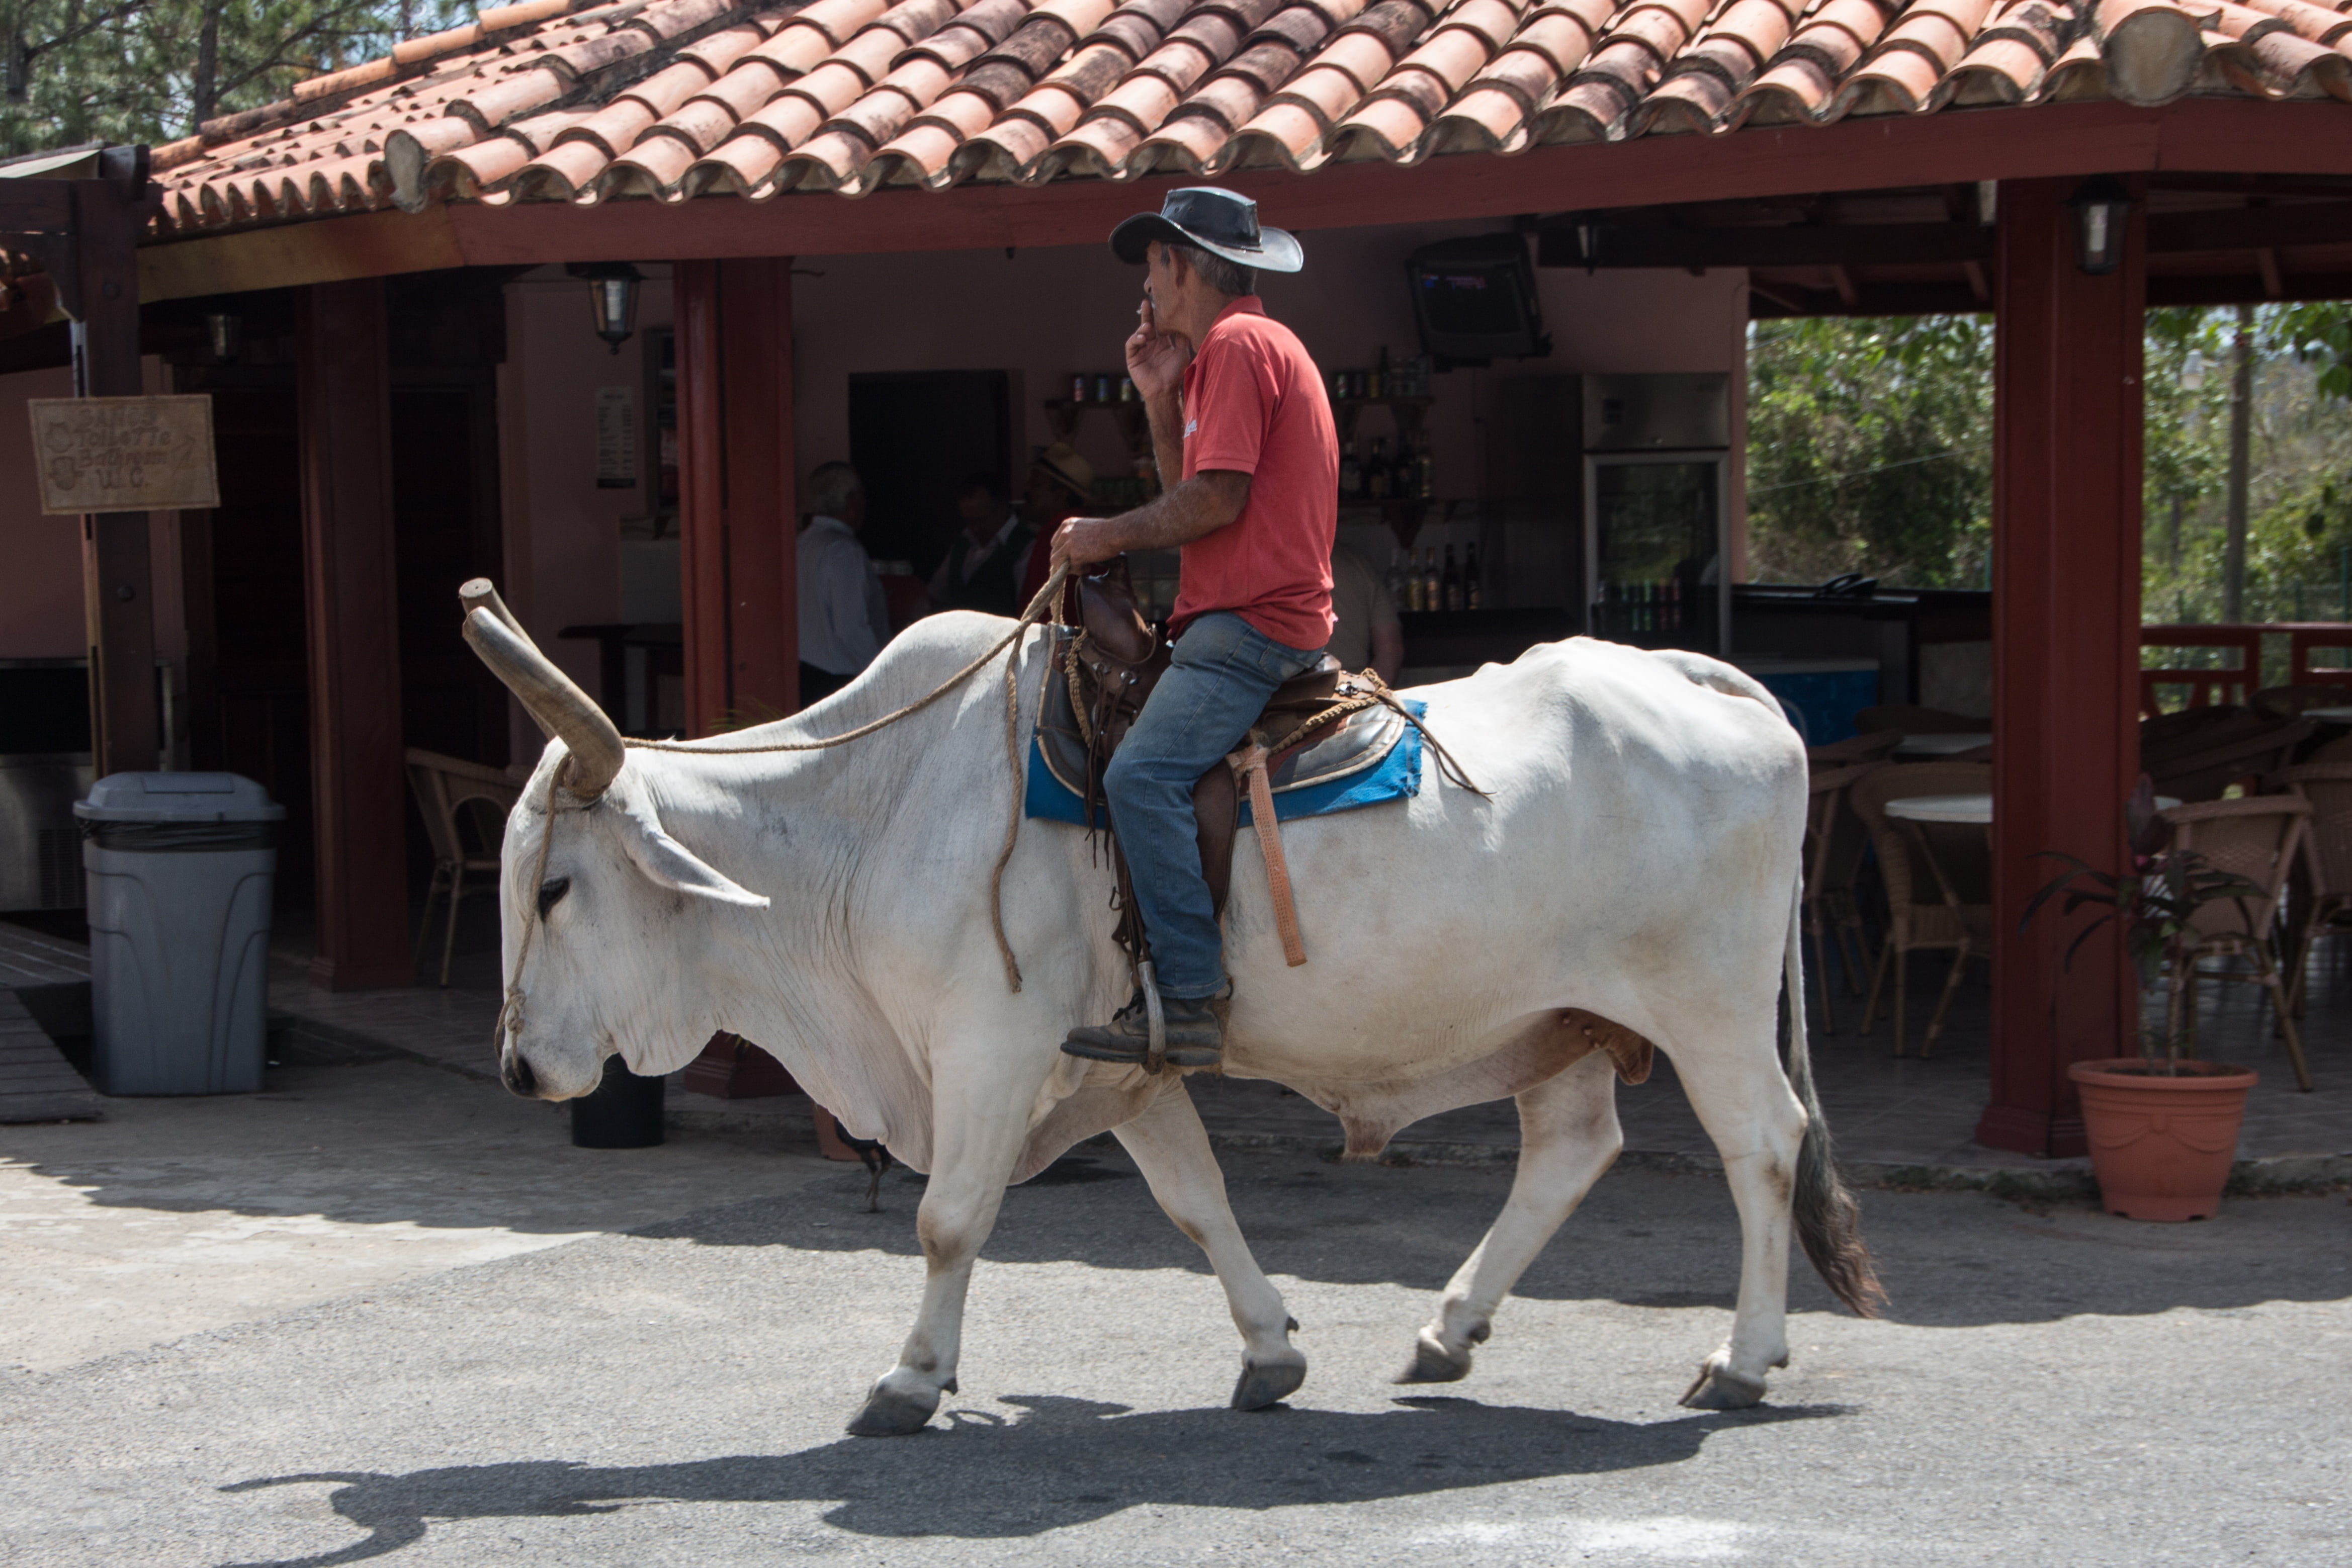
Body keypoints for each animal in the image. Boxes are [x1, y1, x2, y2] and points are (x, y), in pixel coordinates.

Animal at [460, 587, 1881, 1438]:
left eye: (556, 884)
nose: (520, 1067)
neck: (873, 807)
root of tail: (1704, 680)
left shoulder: (989, 1049)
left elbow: (946, 1220)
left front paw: (910, 1376)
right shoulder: (1124, 1067)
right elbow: (1198, 1202)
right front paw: (1271, 1350)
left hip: (1704, 1006)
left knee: (1763, 1144)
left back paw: (1742, 1358)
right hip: (1559, 1021)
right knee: (1571, 1151)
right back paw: (1446, 1327)